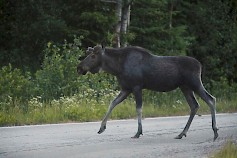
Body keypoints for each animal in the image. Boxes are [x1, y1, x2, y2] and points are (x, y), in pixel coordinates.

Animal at [77, 45, 218, 140]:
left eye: (93, 56)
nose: (79, 68)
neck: (117, 68)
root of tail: (200, 65)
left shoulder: (136, 87)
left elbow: (138, 109)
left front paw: (138, 132)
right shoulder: (126, 89)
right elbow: (113, 103)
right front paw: (101, 127)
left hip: (195, 83)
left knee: (211, 99)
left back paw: (215, 132)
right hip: (185, 87)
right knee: (194, 105)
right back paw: (182, 133)